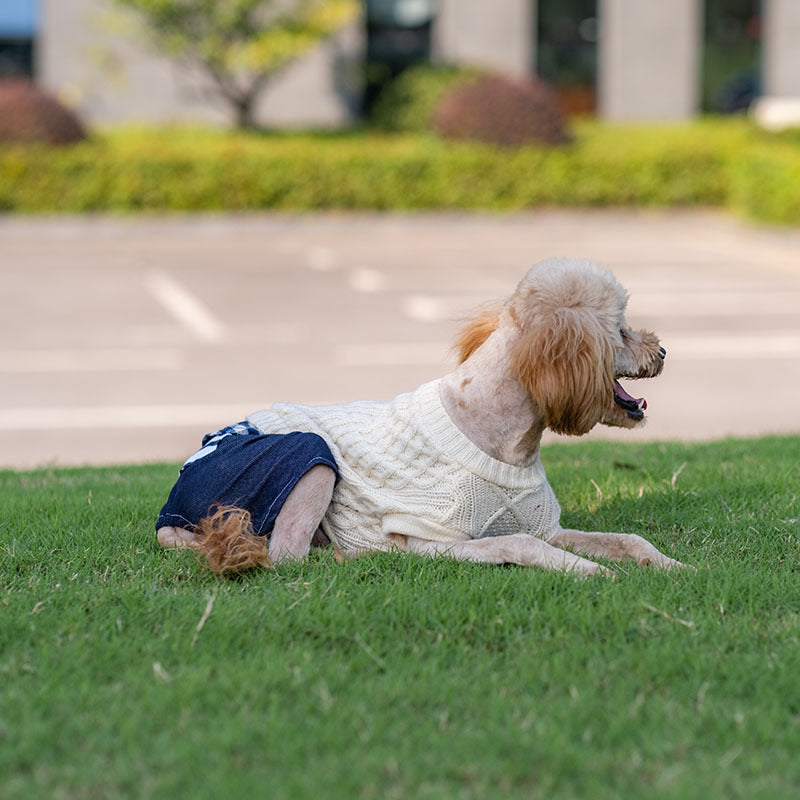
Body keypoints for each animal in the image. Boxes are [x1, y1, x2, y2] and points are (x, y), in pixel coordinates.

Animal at [159, 260, 684, 580]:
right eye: (620, 330)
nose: (661, 351)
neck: (494, 431)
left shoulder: (545, 527)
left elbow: (629, 539)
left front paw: (674, 566)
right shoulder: (431, 540)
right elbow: (520, 544)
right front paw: (593, 572)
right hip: (305, 457)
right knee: (287, 555)